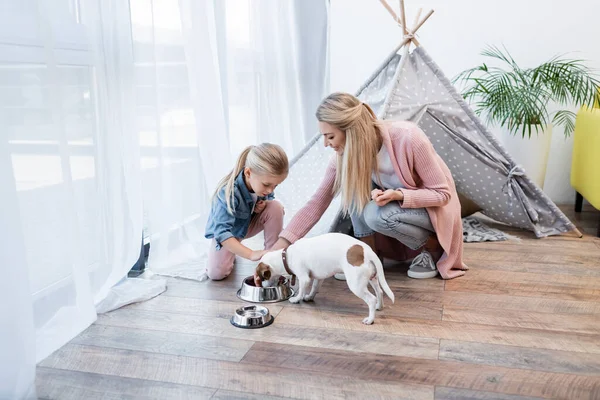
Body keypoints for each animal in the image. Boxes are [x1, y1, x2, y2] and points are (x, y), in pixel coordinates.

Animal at [256, 231, 394, 324]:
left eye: (261, 278)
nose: (261, 287)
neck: (286, 256)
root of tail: (367, 251)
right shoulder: (319, 278)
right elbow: (314, 289)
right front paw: (309, 297)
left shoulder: (304, 278)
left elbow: (301, 291)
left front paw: (296, 299)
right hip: (373, 278)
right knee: (380, 292)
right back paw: (379, 306)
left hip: (356, 285)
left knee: (371, 299)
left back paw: (370, 319)